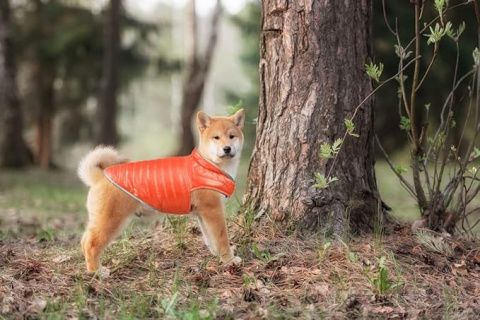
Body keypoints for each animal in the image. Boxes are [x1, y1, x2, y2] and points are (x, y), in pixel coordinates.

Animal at [79, 109, 246, 272]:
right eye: (216, 137)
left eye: (231, 136)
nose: (227, 148)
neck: (208, 164)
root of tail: (99, 177)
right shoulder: (213, 210)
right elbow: (222, 238)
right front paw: (229, 260)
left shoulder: (204, 213)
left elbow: (211, 239)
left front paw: (217, 255)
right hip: (111, 221)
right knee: (91, 244)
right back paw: (97, 272)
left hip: (100, 219)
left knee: (84, 240)